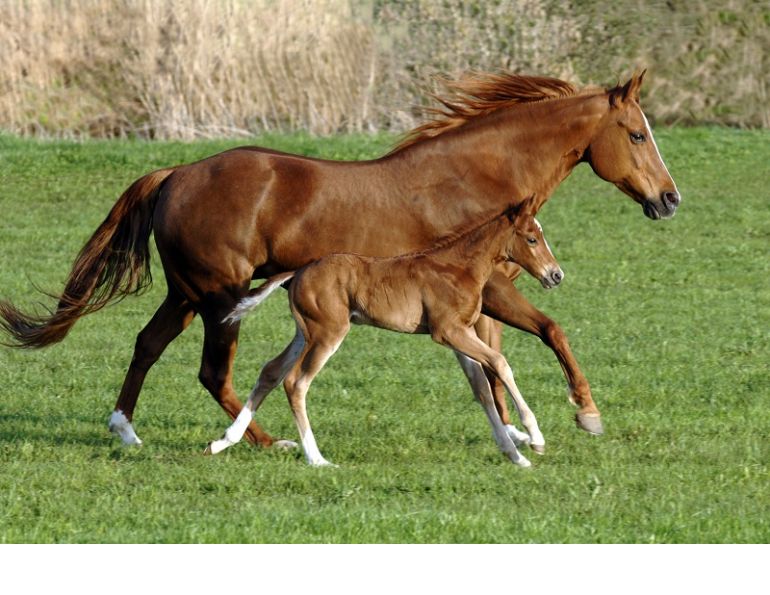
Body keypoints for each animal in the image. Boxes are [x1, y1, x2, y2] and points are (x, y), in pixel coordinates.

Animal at [207, 197, 561, 467]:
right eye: (532, 238)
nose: (556, 275)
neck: (460, 267)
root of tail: (299, 271)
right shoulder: (447, 331)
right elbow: (500, 363)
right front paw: (535, 437)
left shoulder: (460, 335)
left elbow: (482, 389)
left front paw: (516, 456)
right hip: (328, 333)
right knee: (296, 382)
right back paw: (317, 459)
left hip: (304, 332)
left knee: (271, 371)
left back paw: (223, 441)